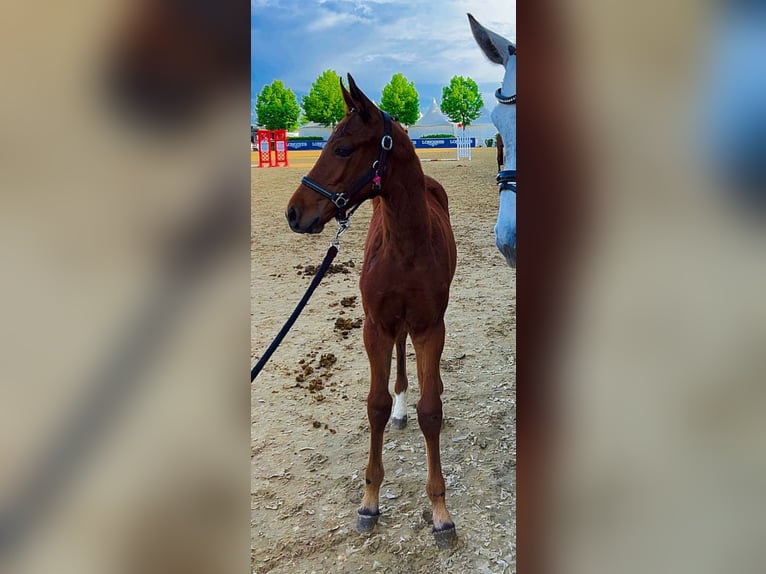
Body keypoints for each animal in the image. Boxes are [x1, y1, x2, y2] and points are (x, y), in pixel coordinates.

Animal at [286, 74, 458, 549]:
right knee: (398, 356)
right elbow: (375, 405)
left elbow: (431, 410)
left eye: (344, 148)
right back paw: (401, 406)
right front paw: (369, 502)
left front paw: (440, 513)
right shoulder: (375, 325)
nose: (294, 212)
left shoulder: (430, 325)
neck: (406, 247)